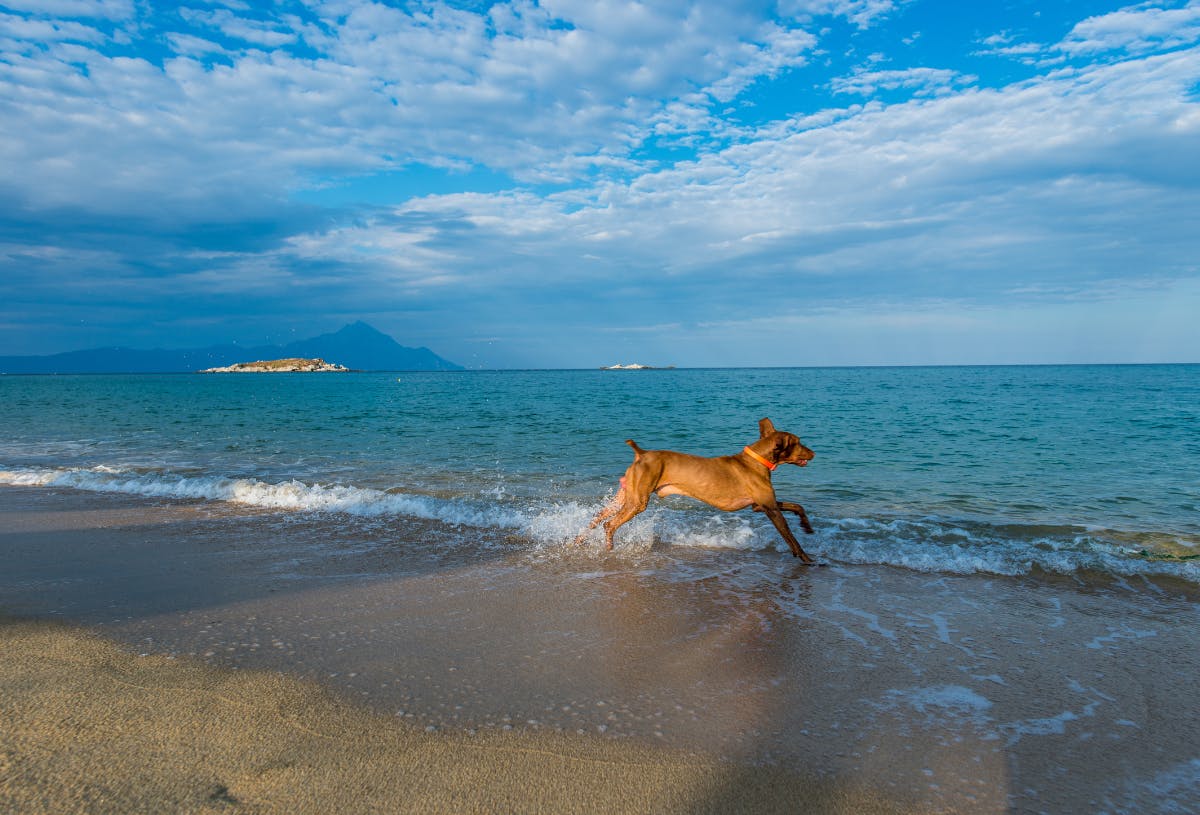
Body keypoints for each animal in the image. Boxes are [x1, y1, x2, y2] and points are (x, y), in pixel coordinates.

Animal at [578, 420, 816, 561]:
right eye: (798, 442)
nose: (814, 453)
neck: (757, 460)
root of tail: (642, 454)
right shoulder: (769, 509)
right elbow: (790, 537)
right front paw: (807, 559)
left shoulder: (759, 506)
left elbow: (797, 506)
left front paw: (806, 526)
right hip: (638, 502)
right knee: (609, 524)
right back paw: (609, 549)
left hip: (625, 496)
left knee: (597, 517)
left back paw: (577, 542)